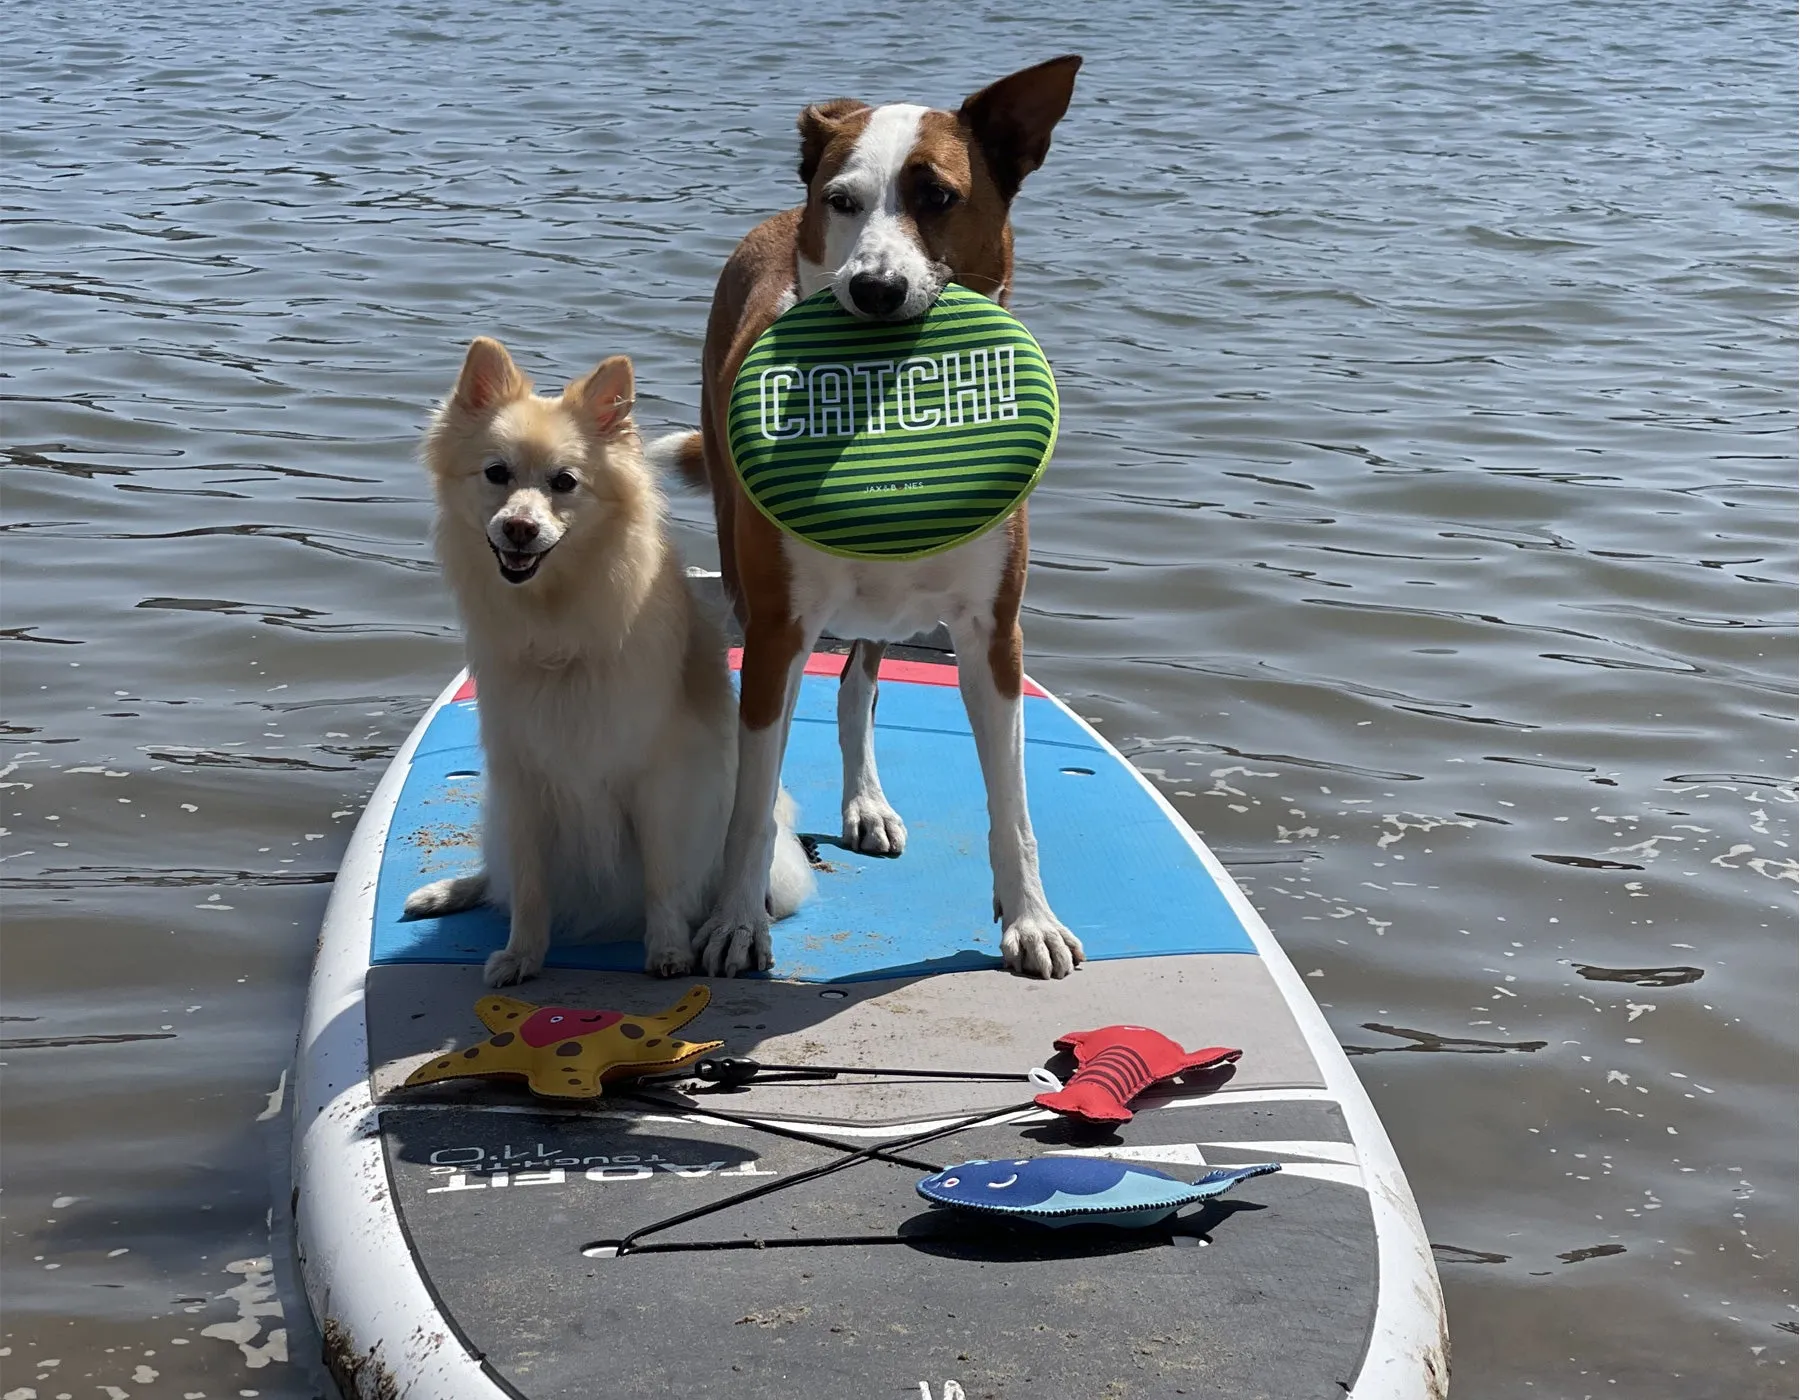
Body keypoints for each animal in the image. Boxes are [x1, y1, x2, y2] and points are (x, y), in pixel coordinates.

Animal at [405, 336, 813, 978]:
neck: (556, 625)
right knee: (497, 874)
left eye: (565, 483)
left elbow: (661, 879)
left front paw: (668, 951)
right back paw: (451, 891)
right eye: (496, 474)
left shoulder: (658, 781)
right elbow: (529, 885)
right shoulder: (521, 778)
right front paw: (522, 956)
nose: (518, 528)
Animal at [658, 51, 1080, 971]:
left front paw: (1030, 918)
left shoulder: (994, 632)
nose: (876, 288)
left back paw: (867, 802)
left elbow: (1015, 803)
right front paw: (736, 920)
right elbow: (752, 799)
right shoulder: (778, 624)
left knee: (859, 686)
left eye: (940, 197)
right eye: (844, 201)